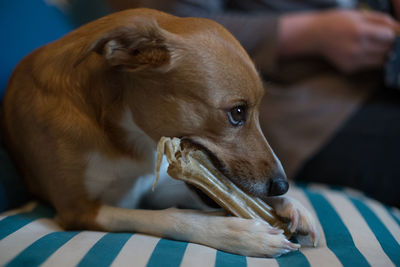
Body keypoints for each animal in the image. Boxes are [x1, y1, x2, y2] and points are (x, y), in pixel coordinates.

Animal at [0, 8, 318, 258]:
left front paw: (293, 207)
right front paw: (235, 232)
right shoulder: (78, 210)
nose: (282, 185)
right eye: (238, 112)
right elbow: (167, 218)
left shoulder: (155, 187)